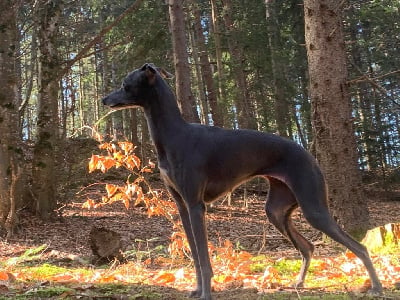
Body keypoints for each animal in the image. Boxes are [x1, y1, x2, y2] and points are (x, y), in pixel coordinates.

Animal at [102, 63, 382, 300]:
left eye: (125, 84)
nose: (104, 99)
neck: (174, 135)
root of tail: (309, 155)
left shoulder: (196, 206)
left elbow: (204, 258)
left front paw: (206, 293)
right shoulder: (182, 206)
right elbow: (195, 255)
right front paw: (197, 289)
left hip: (313, 207)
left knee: (360, 247)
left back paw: (376, 287)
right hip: (277, 211)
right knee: (308, 246)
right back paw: (299, 283)